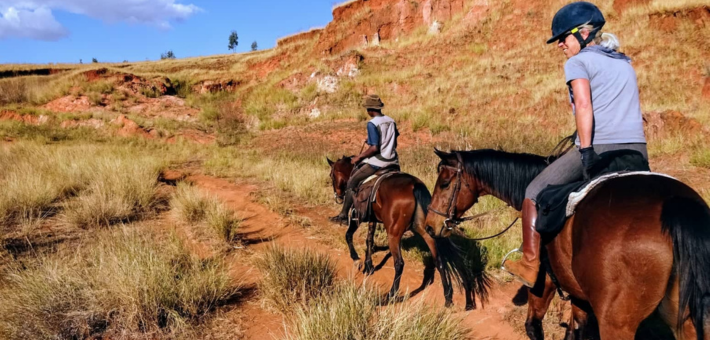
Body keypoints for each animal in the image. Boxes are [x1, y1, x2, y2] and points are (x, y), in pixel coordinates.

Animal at [328, 155, 490, 310]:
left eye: (331, 175)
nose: (338, 195)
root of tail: (415, 186)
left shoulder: (358, 216)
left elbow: (349, 235)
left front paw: (357, 259)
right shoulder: (372, 218)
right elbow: (369, 239)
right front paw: (368, 265)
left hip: (393, 234)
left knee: (399, 263)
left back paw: (391, 295)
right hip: (426, 231)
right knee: (439, 261)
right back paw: (448, 297)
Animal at [426, 149, 710, 340]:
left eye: (445, 183)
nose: (429, 225)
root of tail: (675, 205)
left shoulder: (544, 282)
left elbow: (534, 326)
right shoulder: (579, 297)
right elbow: (576, 331)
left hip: (617, 323)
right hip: (687, 321)